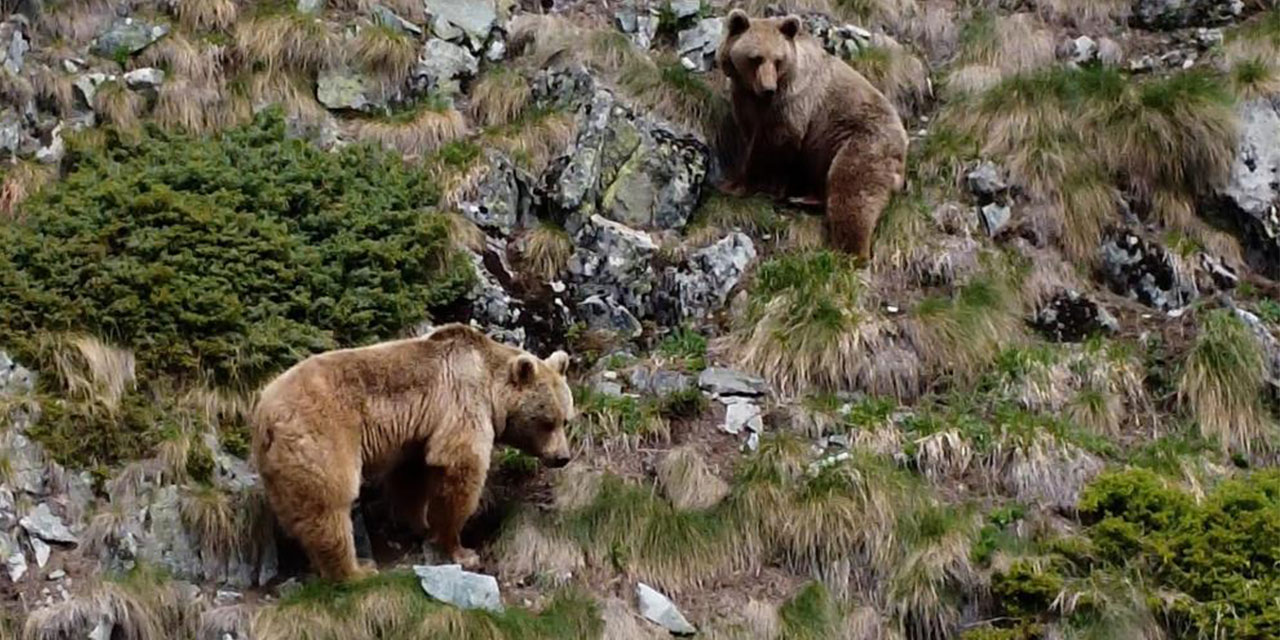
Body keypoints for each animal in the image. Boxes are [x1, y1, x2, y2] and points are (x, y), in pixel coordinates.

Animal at [249, 325, 570, 581]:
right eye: (546, 421)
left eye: (566, 419)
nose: (562, 457)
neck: (491, 386)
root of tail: (265, 413)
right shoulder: (462, 401)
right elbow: (461, 466)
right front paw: (462, 549)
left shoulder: (417, 433)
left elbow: (412, 479)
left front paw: (421, 524)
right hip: (323, 436)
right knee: (330, 502)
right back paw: (356, 570)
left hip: (279, 464)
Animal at [721, 10, 911, 259]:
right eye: (756, 58)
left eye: (777, 60)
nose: (768, 88)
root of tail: (904, 145)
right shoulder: (744, 99)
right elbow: (750, 134)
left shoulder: (791, 101)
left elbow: (774, 143)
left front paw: (739, 185)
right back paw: (806, 198)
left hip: (865, 142)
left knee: (852, 190)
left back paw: (848, 251)